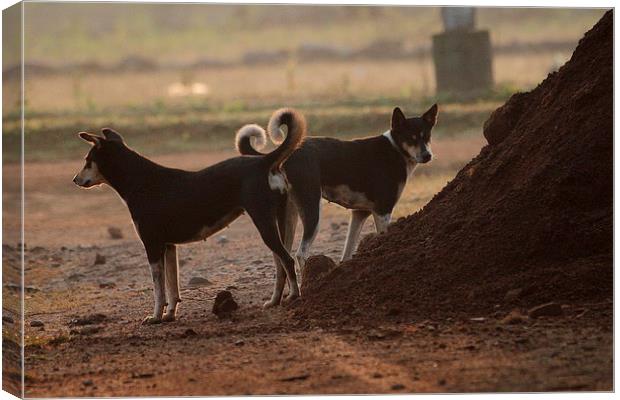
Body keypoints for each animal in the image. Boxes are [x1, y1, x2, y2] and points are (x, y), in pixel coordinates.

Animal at [74, 108, 306, 322]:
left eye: (87, 160)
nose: (75, 180)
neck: (141, 181)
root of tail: (264, 161)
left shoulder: (152, 246)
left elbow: (159, 290)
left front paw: (155, 317)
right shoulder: (169, 246)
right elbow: (172, 287)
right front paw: (169, 315)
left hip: (264, 222)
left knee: (287, 260)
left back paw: (293, 295)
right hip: (281, 221)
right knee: (281, 264)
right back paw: (274, 300)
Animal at [235, 105, 438, 306]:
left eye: (427, 136)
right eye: (411, 138)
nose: (427, 156)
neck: (395, 149)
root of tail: (282, 156)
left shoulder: (359, 213)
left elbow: (347, 252)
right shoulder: (383, 211)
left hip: (287, 217)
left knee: (282, 260)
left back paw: (278, 299)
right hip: (312, 210)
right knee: (300, 254)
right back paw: (310, 288)